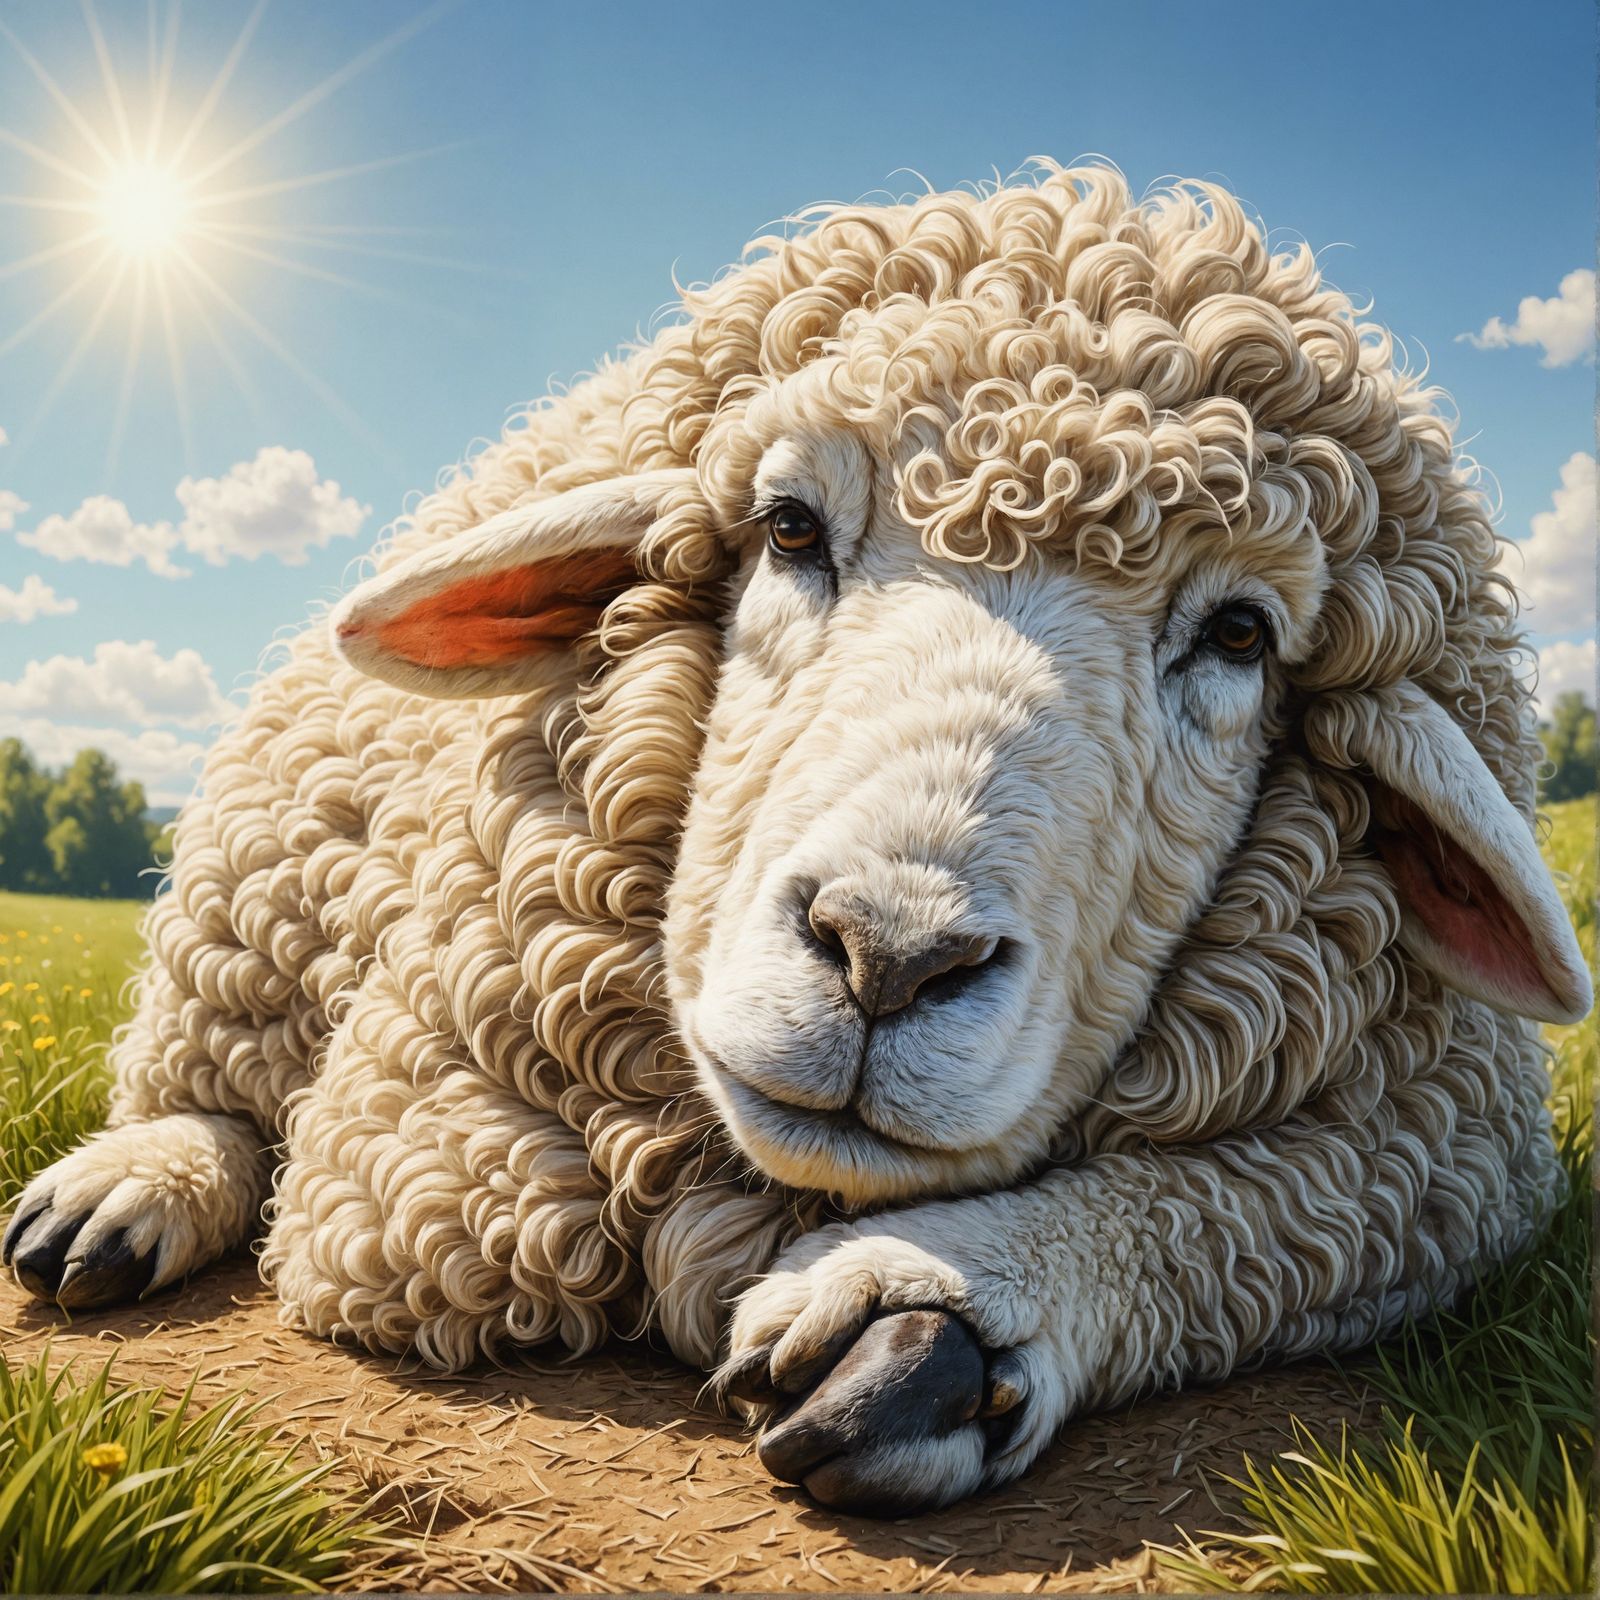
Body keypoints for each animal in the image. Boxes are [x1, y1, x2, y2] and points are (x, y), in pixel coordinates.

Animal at [3, 162, 1589, 1516]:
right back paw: (126, 1192)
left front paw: (928, 1307)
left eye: (1244, 635)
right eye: (785, 526)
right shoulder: (416, 1121)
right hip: (262, 868)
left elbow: (1240, 1207)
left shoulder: (1437, 1151)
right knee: (213, 1077)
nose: (887, 959)